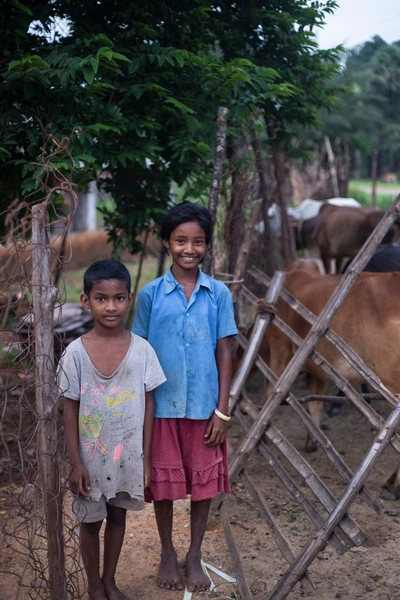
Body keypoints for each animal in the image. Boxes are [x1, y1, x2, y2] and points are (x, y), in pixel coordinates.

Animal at [262, 262, 400, 496]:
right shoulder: (319, 367)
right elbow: (315, 403)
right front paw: (311, 441)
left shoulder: (280, 346)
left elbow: (273, 391)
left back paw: (394, 486)